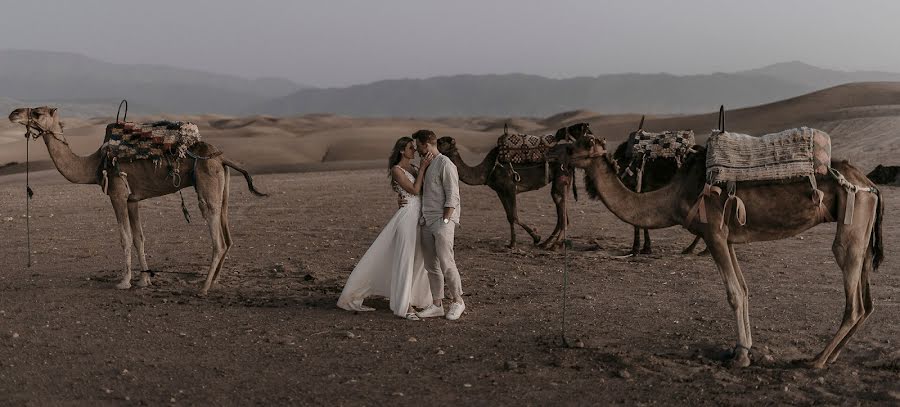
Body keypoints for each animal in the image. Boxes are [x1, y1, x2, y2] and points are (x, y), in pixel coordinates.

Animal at [8, 107, 266, 294]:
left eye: (37, 113)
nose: (13, 113)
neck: (94, 164)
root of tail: (221, 157)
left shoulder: (118, 194)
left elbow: (125, 238)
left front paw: (124, 281)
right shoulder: (133, 199)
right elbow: (139, 238)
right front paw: (144, 280)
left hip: (207, 186)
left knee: (217, 237)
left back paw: (203, 287)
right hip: (223, 187)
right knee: (228, 234)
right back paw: (215, 281)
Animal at [436, 122, 592, 249]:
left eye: (442, 141)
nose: (435, 141)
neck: (487, 169)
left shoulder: (510, 187)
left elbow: (514, 216)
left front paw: (532, 238)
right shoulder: (500, 191)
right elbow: (509, 216)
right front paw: (514, 242)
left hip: (561, 177)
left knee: (561, 210)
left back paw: (552, 245)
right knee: (562, 214)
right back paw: (548, 243)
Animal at [556, 135, 884, 370]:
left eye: (578, 145)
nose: (557, 152)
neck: (673, 196)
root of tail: (870, 185)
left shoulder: (713, 233)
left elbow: (734, 293)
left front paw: (741, 357)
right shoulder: (728, 239)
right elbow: (745, 289)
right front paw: (743, 349)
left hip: (852, 219)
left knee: (853, 298)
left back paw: (817, 360)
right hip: (864, 230)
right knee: (867, 302)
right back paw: (831, 356)